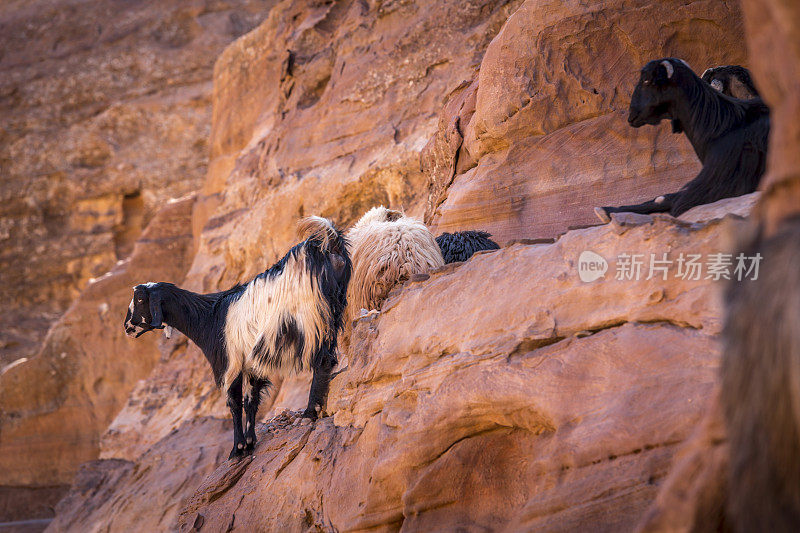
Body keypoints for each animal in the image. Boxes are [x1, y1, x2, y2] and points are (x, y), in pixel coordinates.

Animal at [123, 216, 348, 458]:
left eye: (140, 299)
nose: (127, 327)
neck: (209, 318)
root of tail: (328, 244)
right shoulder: (250, 363)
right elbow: (251, 400)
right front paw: (249, 442)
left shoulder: (228, 363)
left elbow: (234, 402)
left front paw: (236, 448)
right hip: (333, 311)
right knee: (329, 357)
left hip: (310, 317)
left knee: (322, 360)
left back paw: (309, 413)